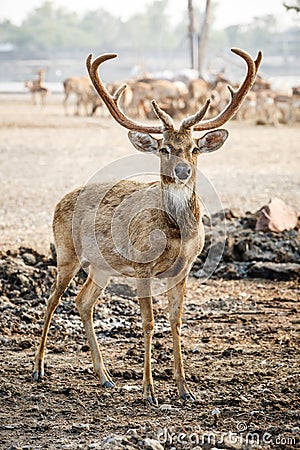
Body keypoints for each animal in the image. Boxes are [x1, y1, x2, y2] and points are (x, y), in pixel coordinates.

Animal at [32, 48, 262, 404]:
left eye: (194, 148)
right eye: (164, 148)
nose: (182, 170)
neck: (176, 234)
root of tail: (60, 201)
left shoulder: (184, 269)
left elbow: (176, 321)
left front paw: (184, 389)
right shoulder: (142, 266)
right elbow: (149, 322)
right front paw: (149, 391)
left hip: (102, 267)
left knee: (83, 302)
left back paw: (105, 377)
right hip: (67, 253)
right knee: (52, 300)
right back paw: (39, 369)